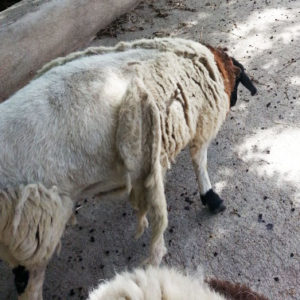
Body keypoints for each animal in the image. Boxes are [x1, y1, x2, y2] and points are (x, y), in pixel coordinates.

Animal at [0, 37, 258, 298]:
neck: (208, 63)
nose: (235, 101)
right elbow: (200, 162)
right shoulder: (201, 124)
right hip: (37, 222)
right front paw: (212, 198)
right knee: (28, 282)